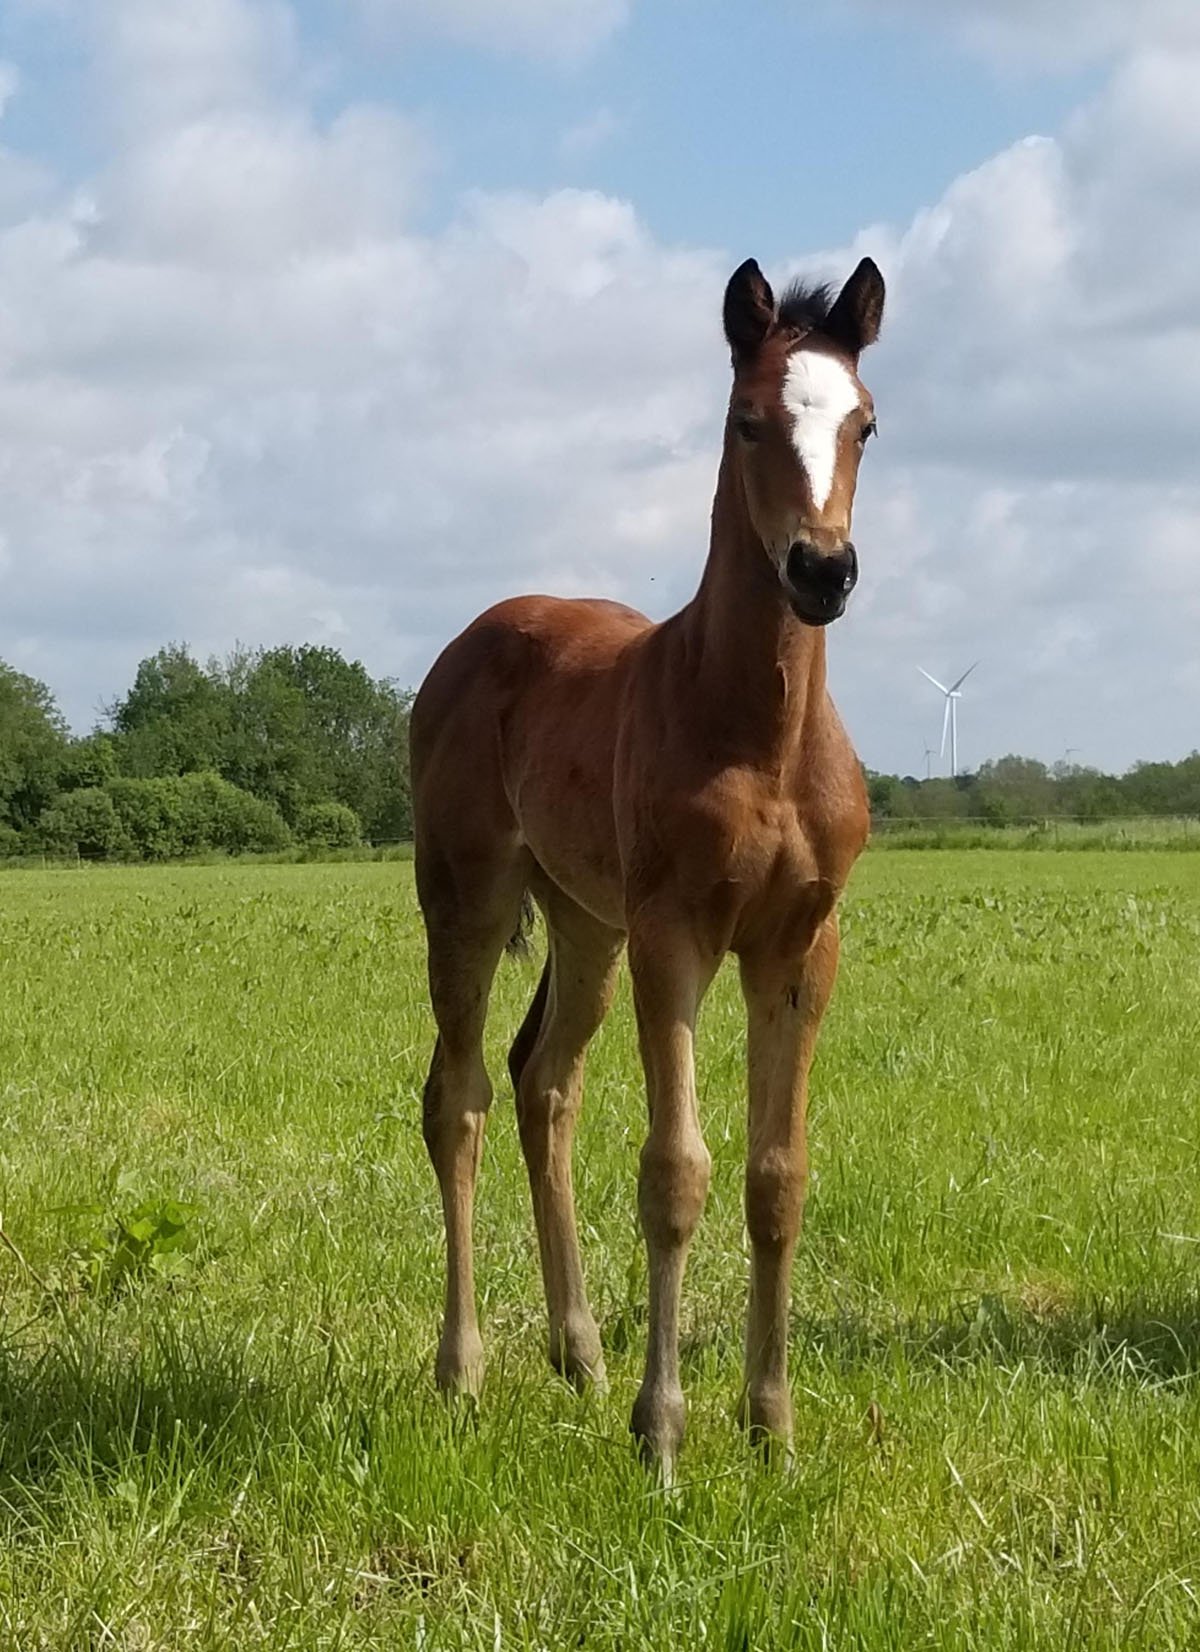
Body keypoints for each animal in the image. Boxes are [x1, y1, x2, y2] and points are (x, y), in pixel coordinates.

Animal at [410, 253, 884, 1474]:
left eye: (864, 422)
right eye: (749, 419)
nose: (822, 570)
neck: (760, 734)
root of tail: (473, 638)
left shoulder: (800, 948)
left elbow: (777, 1177)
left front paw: (771, 1428)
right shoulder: (678, 936)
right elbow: (677, 1172)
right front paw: (662, 1434)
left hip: (586, 924)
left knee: (543, 1083)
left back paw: (578, 1352)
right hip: (468, 897)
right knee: (458, 1098)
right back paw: (463, 1371)